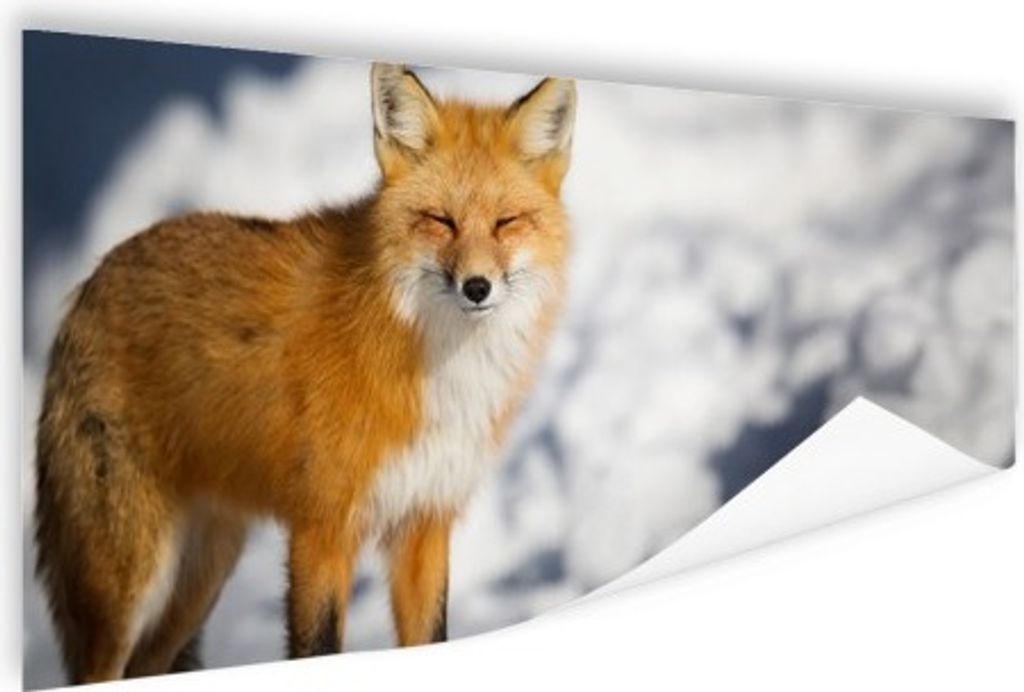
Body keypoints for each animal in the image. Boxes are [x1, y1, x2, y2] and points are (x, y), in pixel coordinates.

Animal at [33, 62, 576, 684]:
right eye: (440, 221)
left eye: (507, 222)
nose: (477, 287)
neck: (432, 360)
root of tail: (87, 284)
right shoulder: (321, 527)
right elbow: (316, 648)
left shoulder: (423, 520)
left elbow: (431, 636)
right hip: (127, 577)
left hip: (204, 571)